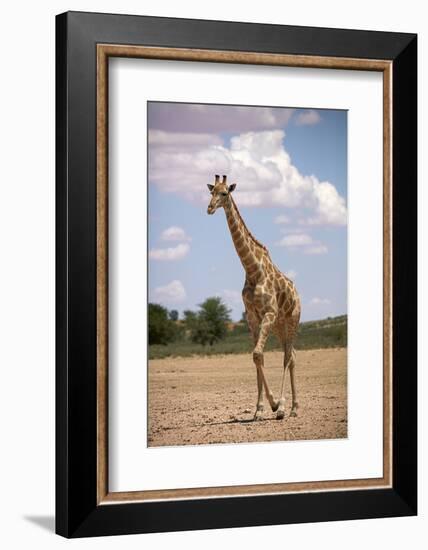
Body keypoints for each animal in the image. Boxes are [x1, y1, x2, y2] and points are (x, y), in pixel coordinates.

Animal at [207, 175, 300, 420]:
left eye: (224, 193)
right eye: (211, 192)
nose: (209, 208)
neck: (252, 270)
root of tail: (297, 293)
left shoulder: (268, 312)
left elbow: (258, 353)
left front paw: (275, 405)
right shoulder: (252, 317)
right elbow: (257, 357)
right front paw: (259, 409)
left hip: (291, 321)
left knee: (288, 356)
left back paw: (286, 407)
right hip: (278, 326)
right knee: (293, 355)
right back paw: (295, 407)